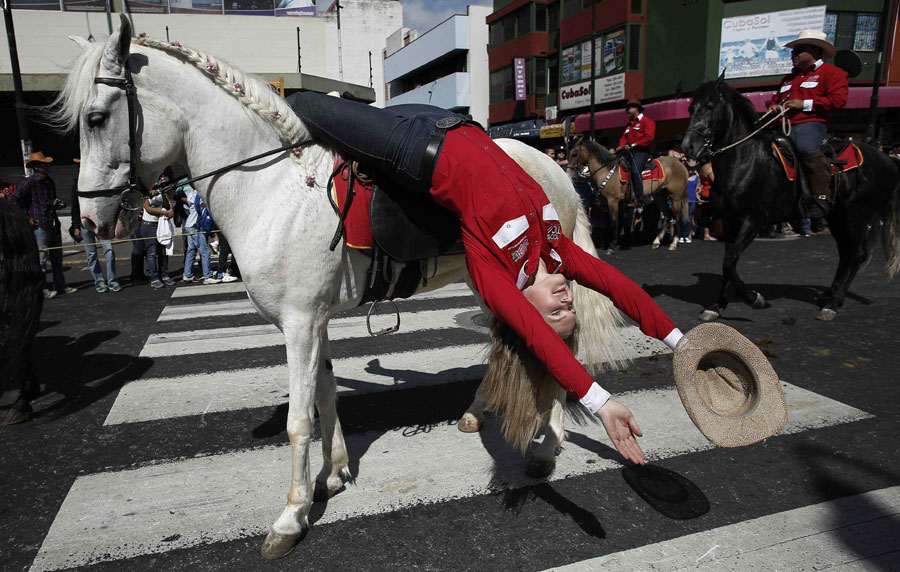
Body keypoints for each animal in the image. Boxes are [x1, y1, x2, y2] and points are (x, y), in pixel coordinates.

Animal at [61, 16, 624, 560]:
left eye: (95, 119)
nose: (86, 220)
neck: (272, 190)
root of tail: (557, 170)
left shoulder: (298, 324)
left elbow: (298, 420)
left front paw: (290, 517)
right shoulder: (314, 322)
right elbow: (326, 396)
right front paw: (332, 475)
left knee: (555, 346)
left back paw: (544, 449)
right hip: (484, 279)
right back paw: (477, 413)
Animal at [684, 73, 900, 322]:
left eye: (710, 106)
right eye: (691, 108)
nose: (688, 146)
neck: (745, 160)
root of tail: (889, 160)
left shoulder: (754, 220)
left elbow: (730, 262)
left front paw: (753, 298)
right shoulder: (729, 220)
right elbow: (729, 262)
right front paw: (718, 305)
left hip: (856, 215)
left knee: (856, 254)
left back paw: (833, 303)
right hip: (837, 217)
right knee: (846, 254)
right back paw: (829, 294)